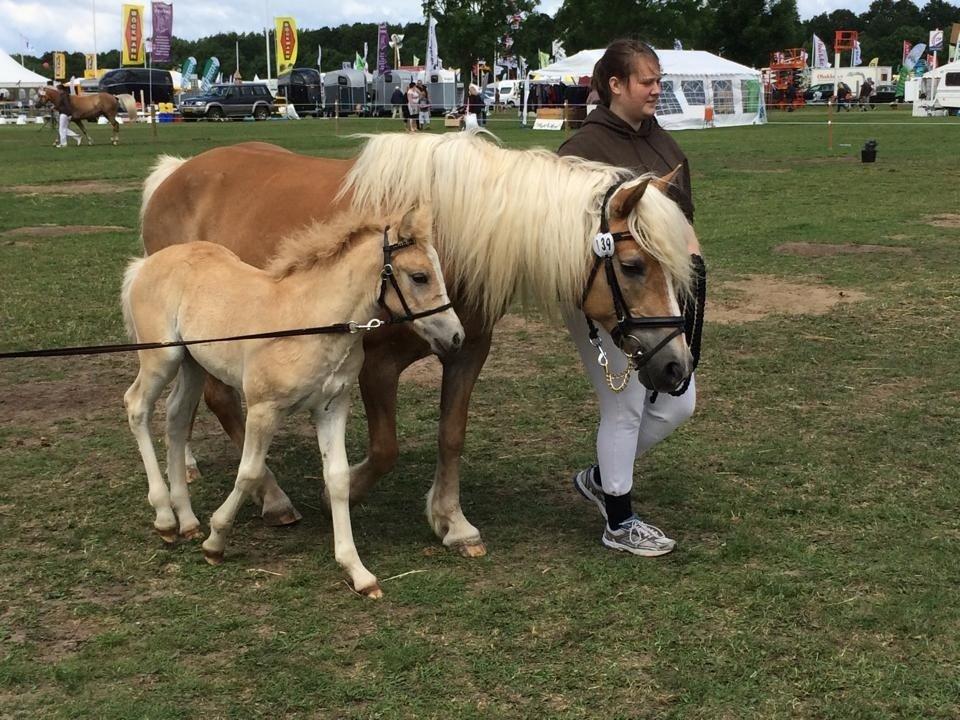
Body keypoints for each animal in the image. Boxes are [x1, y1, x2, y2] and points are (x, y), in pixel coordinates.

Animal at [122, 204, 463, 598]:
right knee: (137, 407)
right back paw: (165, 518)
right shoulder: (262, 409)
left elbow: (338, 479)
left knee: (176, 419)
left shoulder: (332, 407)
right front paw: (216, 542)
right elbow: (250, 472)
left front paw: (358, 572)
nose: (456, 336)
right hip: (161, 359)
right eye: (420, 276)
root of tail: (146, 264)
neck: (310, 323)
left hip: (192, 364)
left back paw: (188, 520)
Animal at [140, 132, 697, 558]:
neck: (452, 236)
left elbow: (451, 435)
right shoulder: (375, 365)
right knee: (218, 401)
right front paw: (340, 491)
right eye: (633, 266)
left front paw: (452, 521)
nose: (675, 366)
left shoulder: (467, 351)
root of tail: (176, 173)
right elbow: (385, 449)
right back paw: (272, 498)